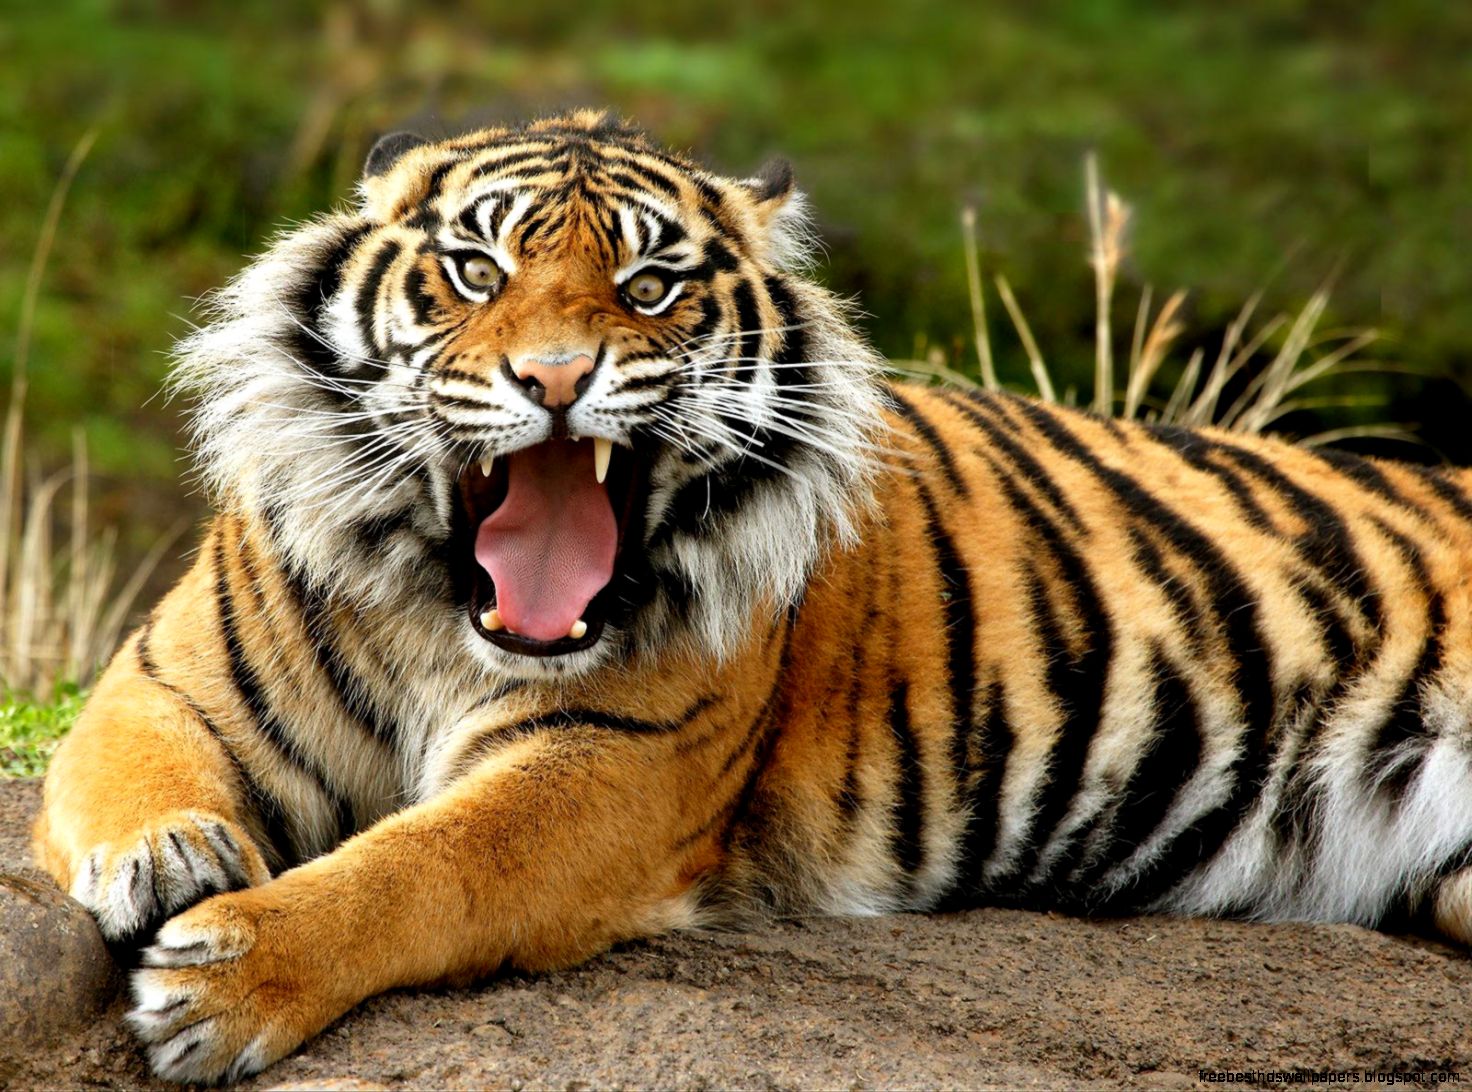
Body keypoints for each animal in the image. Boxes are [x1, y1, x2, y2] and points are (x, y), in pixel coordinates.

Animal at [30, 108, 1472, 1083]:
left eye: (648, 285)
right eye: (478, 273)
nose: (556, 379)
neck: (443, 611)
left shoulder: (605, 769)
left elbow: (421, 865)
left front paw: (228, 982)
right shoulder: (162, 678)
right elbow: (131, 772)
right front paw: (170, 859)